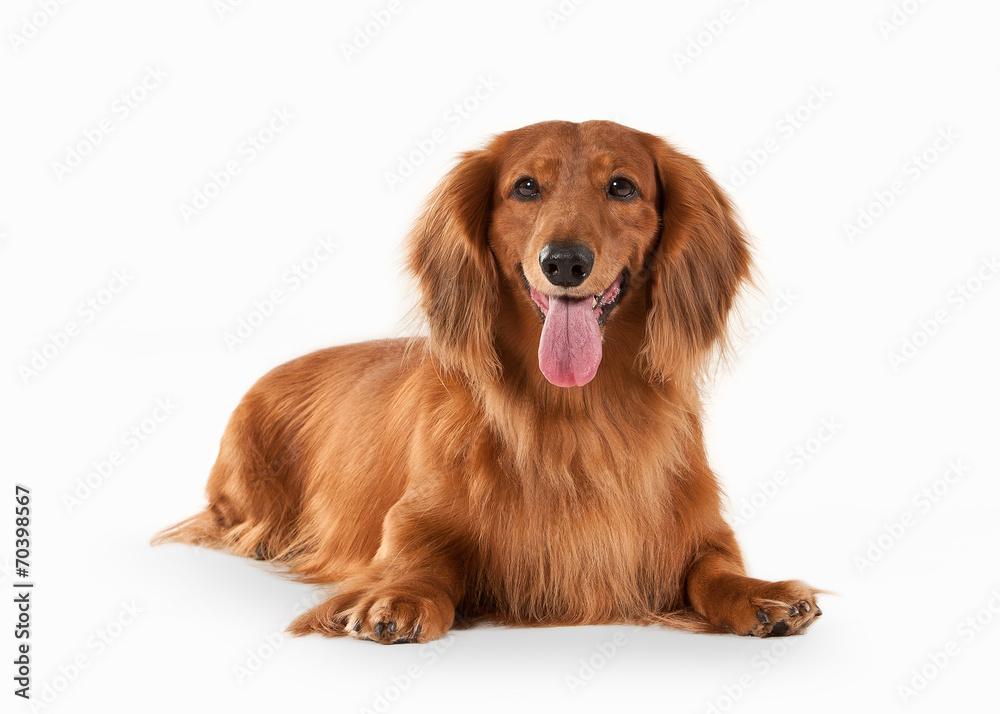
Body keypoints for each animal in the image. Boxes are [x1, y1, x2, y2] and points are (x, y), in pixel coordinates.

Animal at [154, 119, 820, 644]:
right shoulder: (414, 520)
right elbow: (420, 560)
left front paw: (761, 593)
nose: (565, 262)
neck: (575, 409)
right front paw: (398, 597)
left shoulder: (700, 530)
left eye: (621, 186)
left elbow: (716, 568)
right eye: (526, 186)